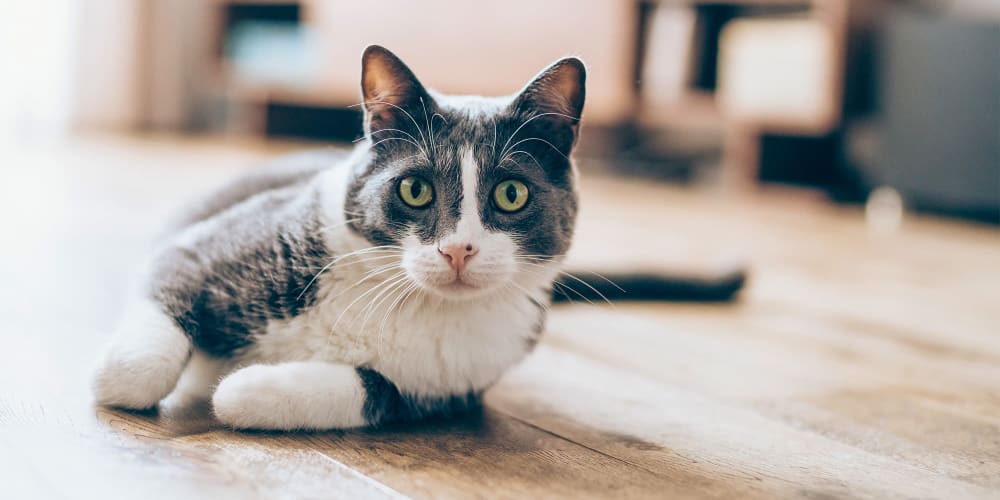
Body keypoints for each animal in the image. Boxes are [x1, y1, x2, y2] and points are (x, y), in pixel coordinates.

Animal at [92, 46, 744, 430]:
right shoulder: (204, 248)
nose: (458, 249)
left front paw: (247, 389)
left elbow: (377, 390)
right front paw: (115, 376)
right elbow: (151, 330)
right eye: (414, 189)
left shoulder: (459, 383)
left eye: (511, 194)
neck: (407, 299)